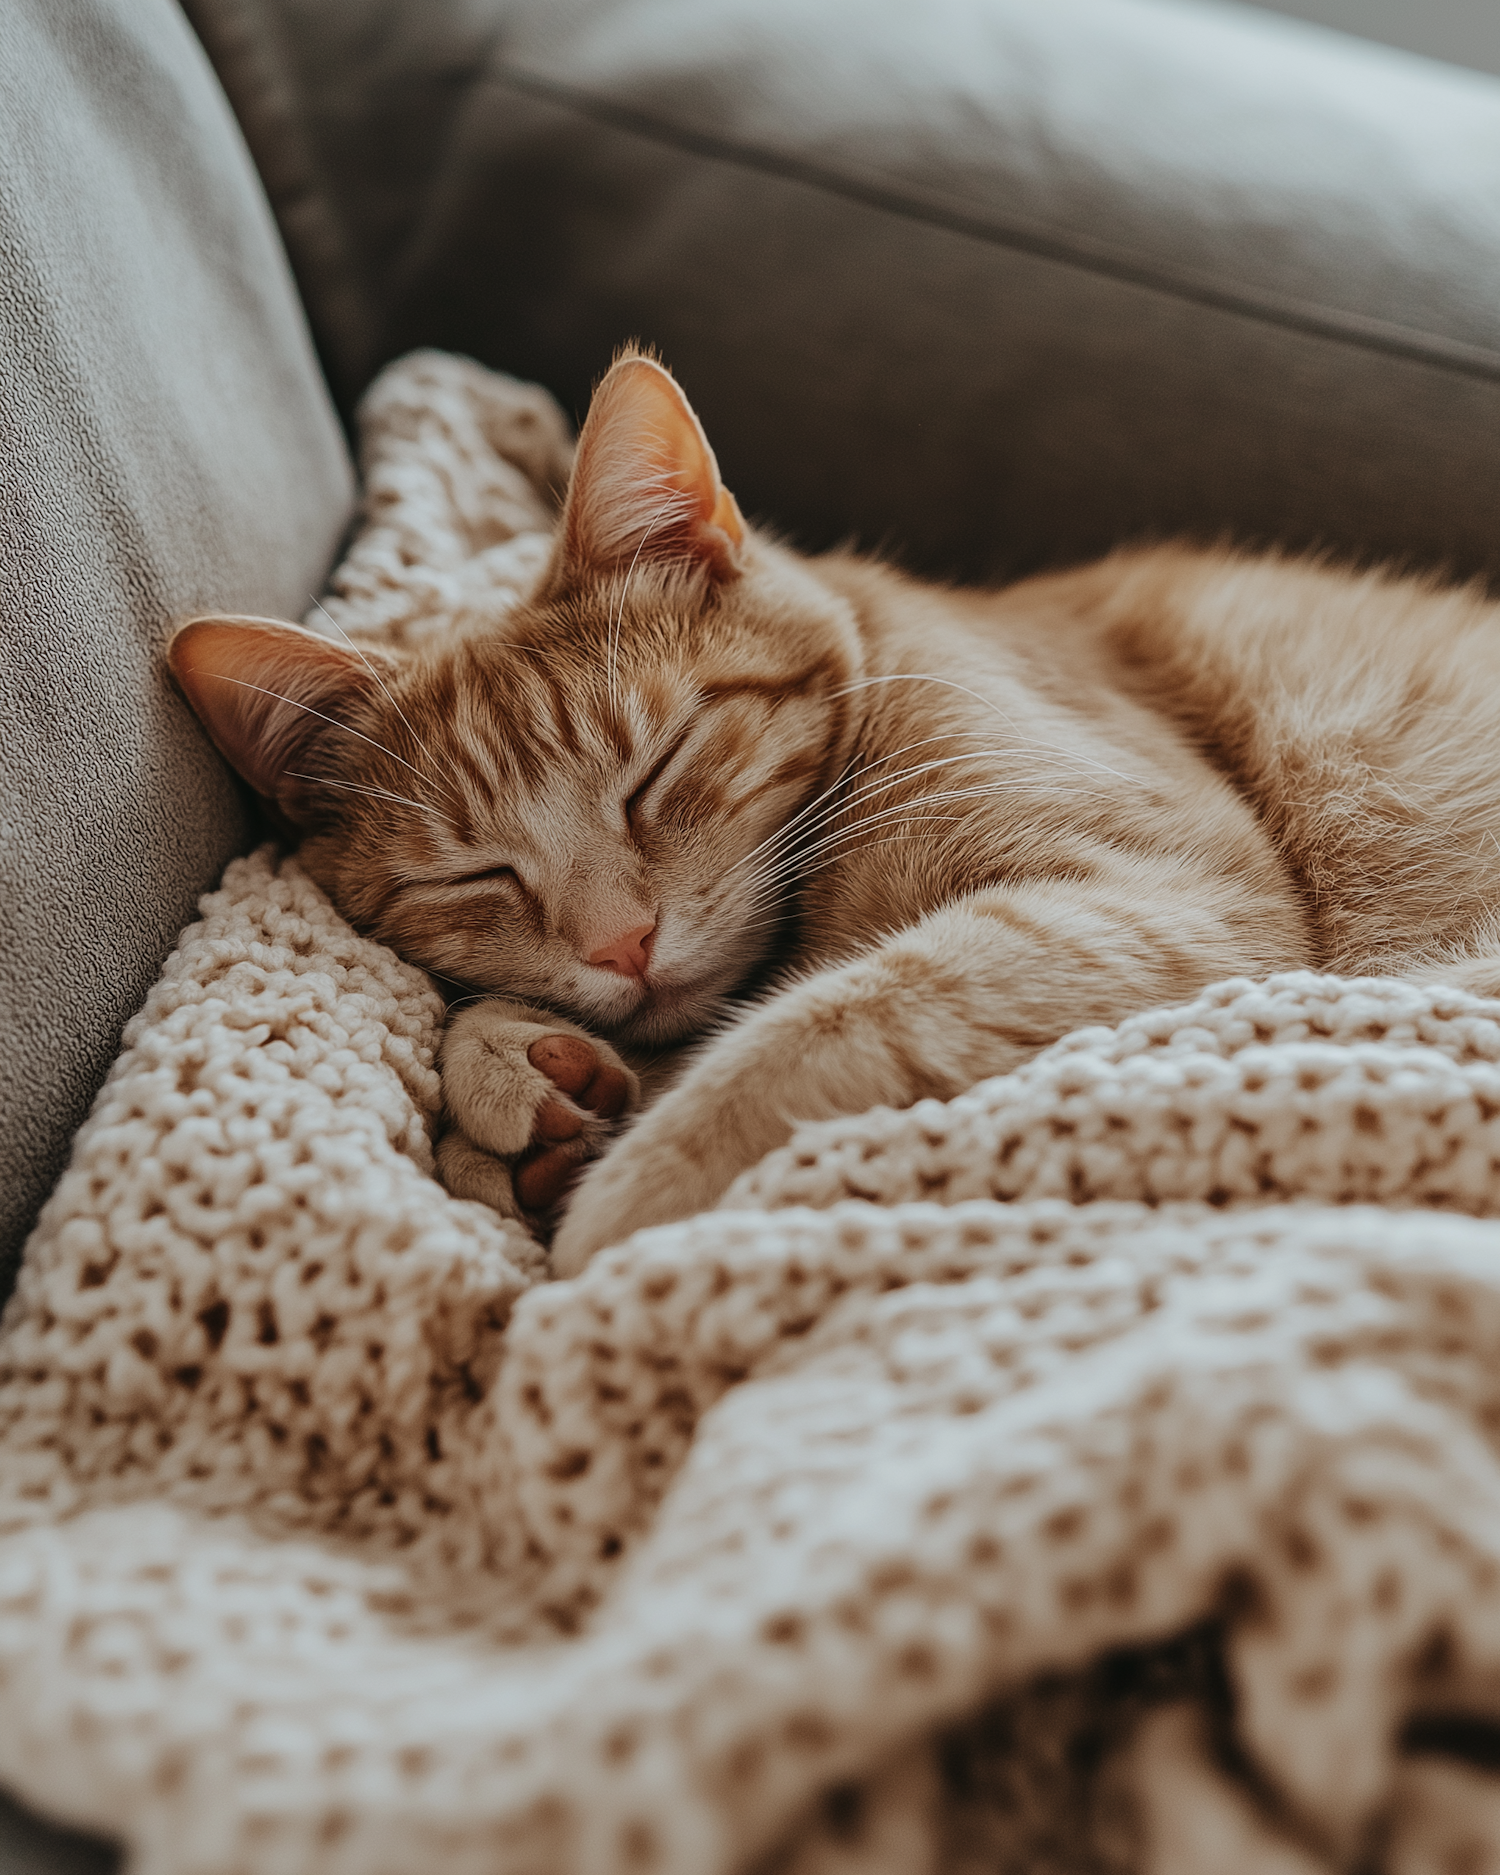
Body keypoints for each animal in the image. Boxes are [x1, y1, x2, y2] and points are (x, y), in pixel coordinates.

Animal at [166, 348, 1500, 1275]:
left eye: (658, 769)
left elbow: (821, 1024)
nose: (622, 947)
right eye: (474, 876)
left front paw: (609, 1208)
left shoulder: (1167, 902)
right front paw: (518, 1092)